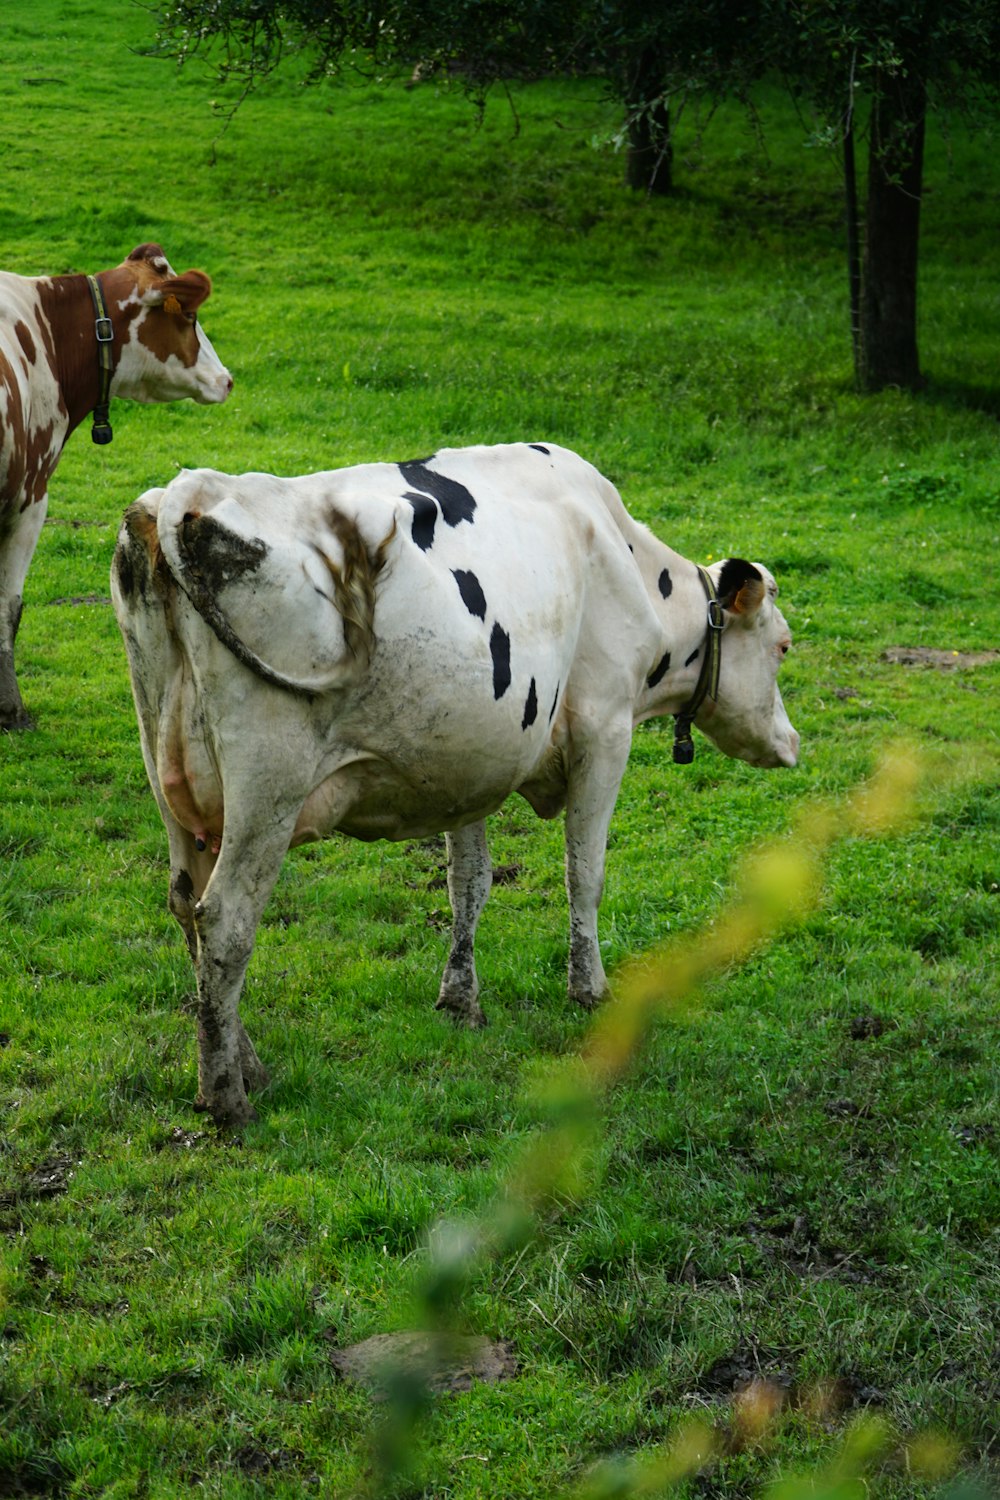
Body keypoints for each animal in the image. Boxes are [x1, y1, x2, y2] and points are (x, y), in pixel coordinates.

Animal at [111, 444, 797, 1128]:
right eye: (783, 647)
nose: (791, 744)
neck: (621, 555)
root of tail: (190, 491)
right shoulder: (605, 727)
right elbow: (585, 873)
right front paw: (590, 990)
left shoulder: (472, 764)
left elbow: (469, 883)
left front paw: (460, 999)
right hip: (267, 786)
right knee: (225, 920)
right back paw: (226, 1097)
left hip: (169, 774)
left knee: (185, 907)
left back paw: (247, 1063)